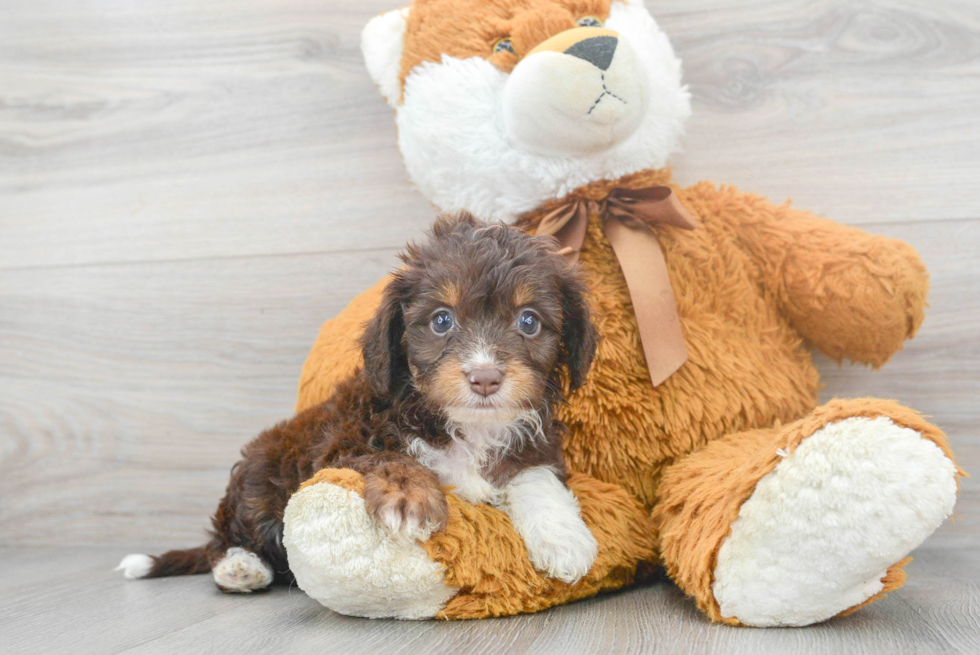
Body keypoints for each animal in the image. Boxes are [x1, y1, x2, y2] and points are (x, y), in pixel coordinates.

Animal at [118, 217, 600, 596]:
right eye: (442, 321)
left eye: (529, 321)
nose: (485, 378)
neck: (466, 426)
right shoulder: (344, 440)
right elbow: (389, 457)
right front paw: (408, 494)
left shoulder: (533, 440)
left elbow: (533, 475)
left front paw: (564, 540)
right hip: (258, 474)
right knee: (230, 534)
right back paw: (240, 566)